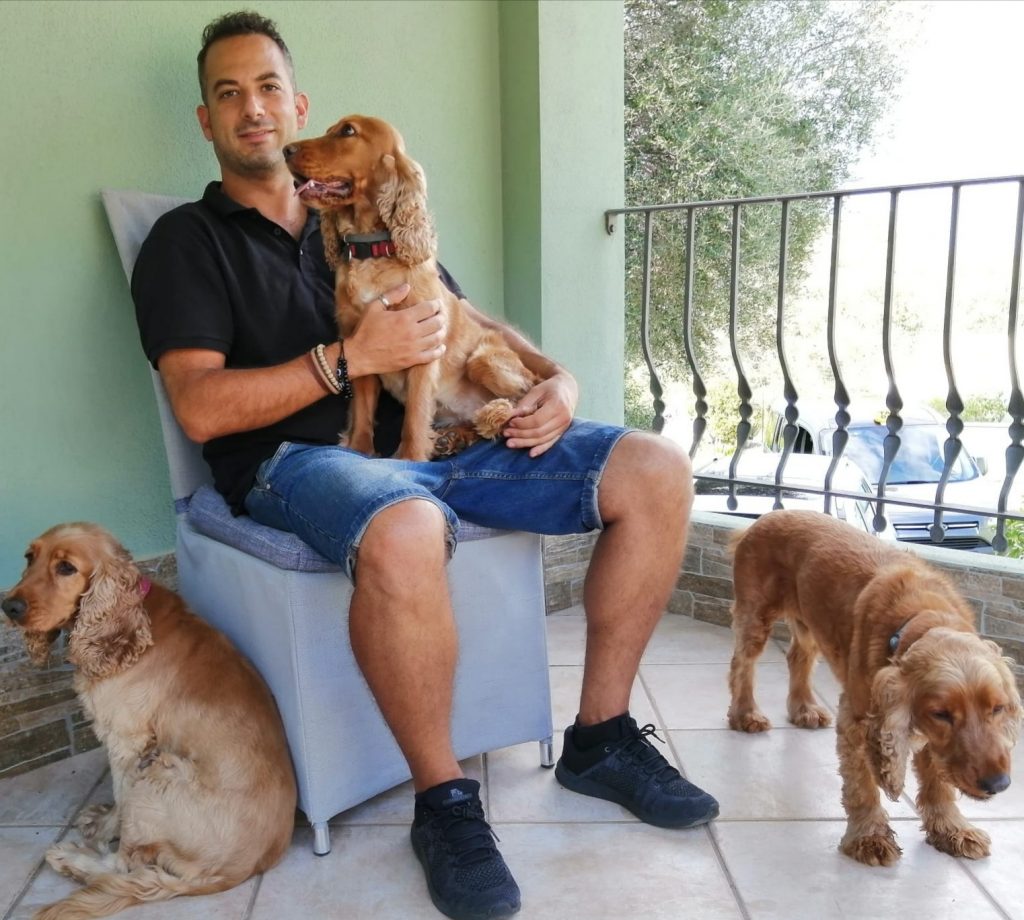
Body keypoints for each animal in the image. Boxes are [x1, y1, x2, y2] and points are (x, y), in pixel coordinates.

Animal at [1, 523, 297, 919]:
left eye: (66, 568)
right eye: (29, 557)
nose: (9, 606)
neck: (127, 622)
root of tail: (237, 870)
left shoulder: (126, 741)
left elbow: (120, 794)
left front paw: (103, 830)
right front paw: (102, 820)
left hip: (159, 773)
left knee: (123, 865)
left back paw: (72, 859)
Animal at [284, 114, 539, 461]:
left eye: (348, 131)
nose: (285, 149)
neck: (371, 251)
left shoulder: (424, 348)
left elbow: (415, 415)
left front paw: (411, 457)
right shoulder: (360, 349)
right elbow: (363, 411)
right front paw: (361, 450)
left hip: (483, 360)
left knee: (525, 398)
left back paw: (492, 415)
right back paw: (454, 437)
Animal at [726, 510, 1020, 866]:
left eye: (998, 708)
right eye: (941, 714)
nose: (999, 783)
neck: (921, 616)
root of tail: (763, 518)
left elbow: (938, 782)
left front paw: (952, 829)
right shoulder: (858, 722)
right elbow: (862, 785)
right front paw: (869, 838)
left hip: (811, 621)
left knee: (798, 656)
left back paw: (804, 709)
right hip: (756, 614)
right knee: (742, 663)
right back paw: (745, 714)